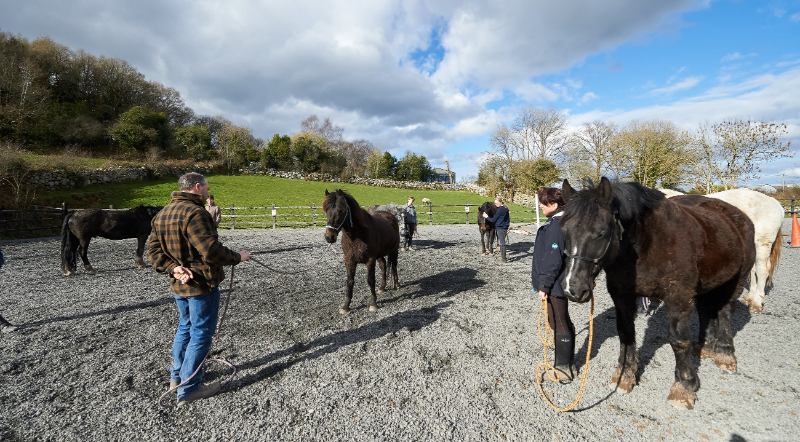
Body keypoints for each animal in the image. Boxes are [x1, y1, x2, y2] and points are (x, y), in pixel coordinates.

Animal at [560, 177, 752, 410]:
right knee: (707, 310)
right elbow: (626, 333)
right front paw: (625, 376)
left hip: (736, 280)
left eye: (601, 232)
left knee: (724, 312)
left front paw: (684, 387)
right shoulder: (622, 296)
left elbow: (679, 340)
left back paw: (725, 354)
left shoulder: (678, 297)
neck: (646, 246)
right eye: (564, 231)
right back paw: (705, 347)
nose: (573, 289)